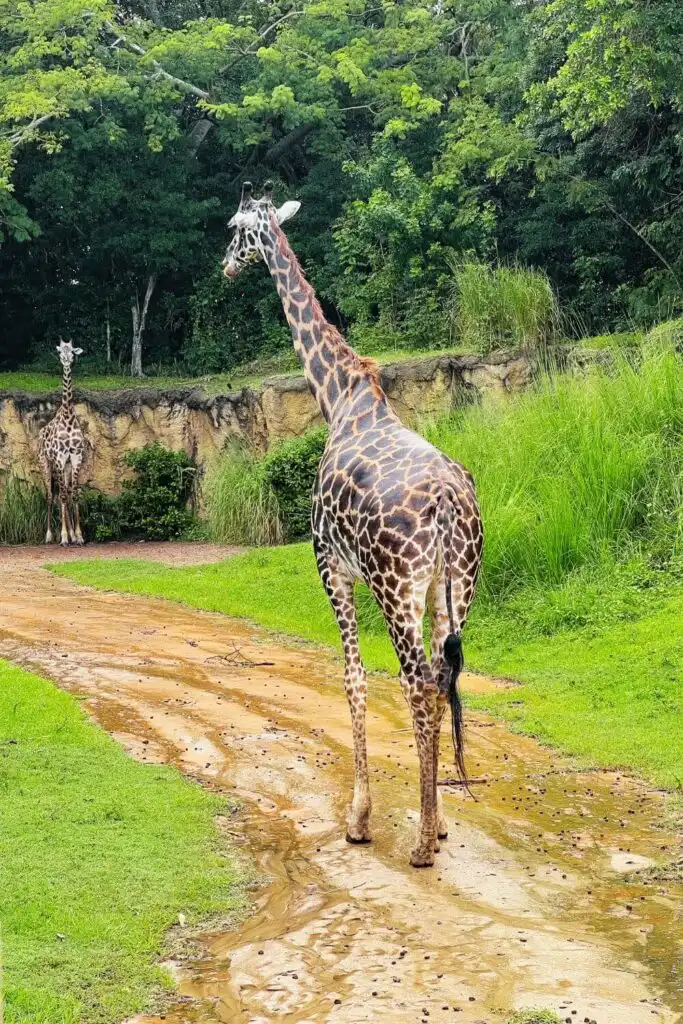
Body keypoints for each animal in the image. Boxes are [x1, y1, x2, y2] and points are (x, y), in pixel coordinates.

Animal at [223, 182, 483, 867]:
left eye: (234, 228)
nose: (226, 266)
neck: (339, 398)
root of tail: (449, 500)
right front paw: (432, 818)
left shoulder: (329, 566)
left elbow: (353, 679)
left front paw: (359, 817)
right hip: (452, 586)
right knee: (441, 678)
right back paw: (434, 824)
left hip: (397, 588)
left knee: (418, 680)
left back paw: (419, 845)